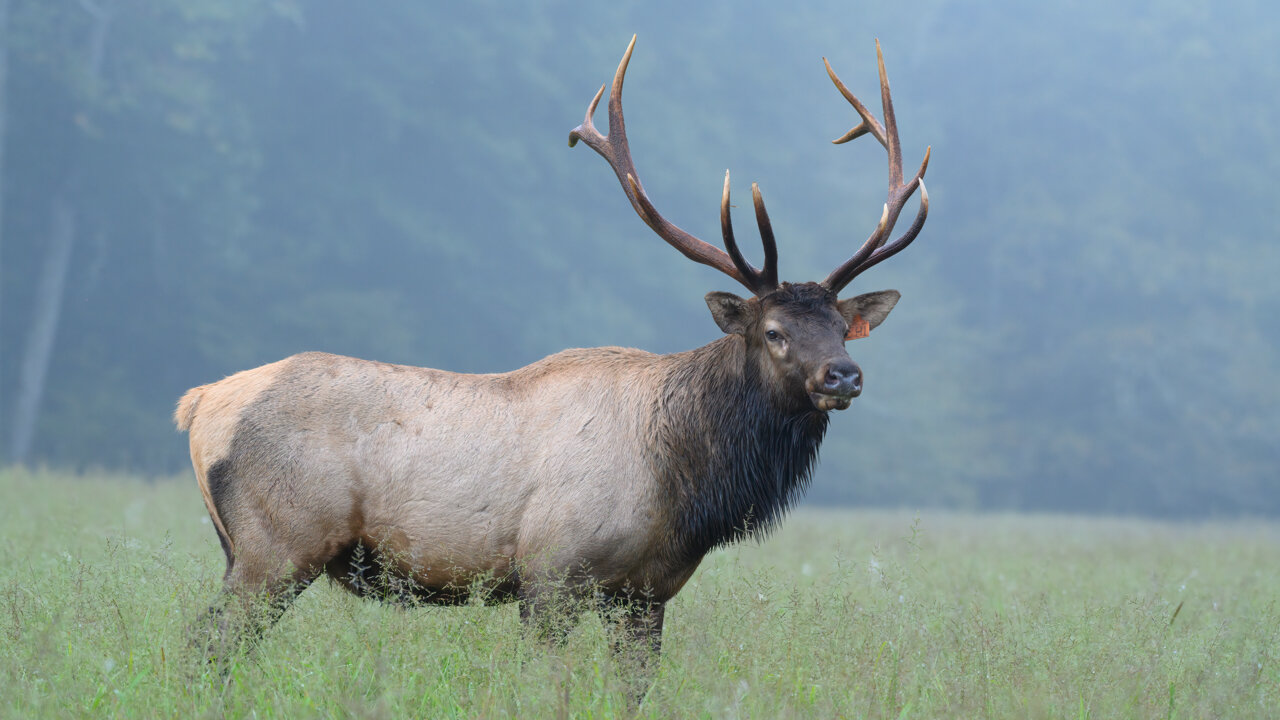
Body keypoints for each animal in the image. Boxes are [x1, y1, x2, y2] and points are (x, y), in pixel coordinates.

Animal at [175, 36, 926, 681]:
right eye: (773, 331)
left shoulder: (647, 592)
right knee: (205, 644)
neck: (685, 483)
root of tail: (201, 403)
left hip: (247, 548)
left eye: (843, 326)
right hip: (278, 544)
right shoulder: (551, 572)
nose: (844, 375)